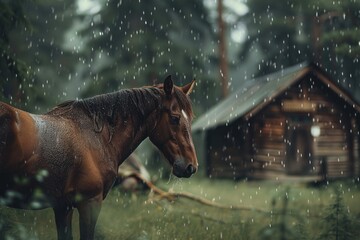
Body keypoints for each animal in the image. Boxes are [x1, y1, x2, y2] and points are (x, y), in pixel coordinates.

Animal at [0, 76, 197, 239]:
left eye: (191, 118)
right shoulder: (90, 203)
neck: (96, 138)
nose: (191, 166)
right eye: (175, 118)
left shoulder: (63, 207)